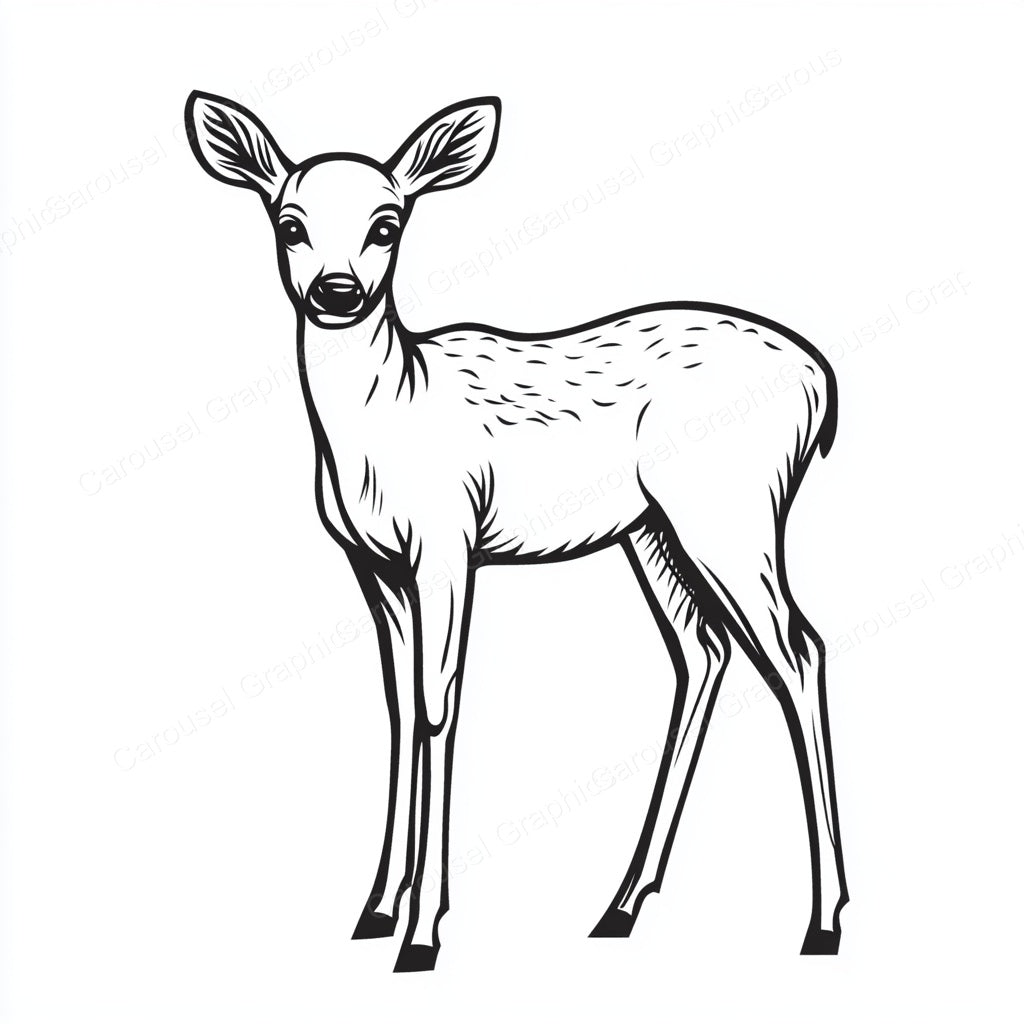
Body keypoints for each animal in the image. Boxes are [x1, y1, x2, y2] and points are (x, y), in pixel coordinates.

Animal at [185, 90, 849, 973]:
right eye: (288, 222)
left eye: (388, 223)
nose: (337, 290)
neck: (385, 419)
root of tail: (823, 384)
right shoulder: (375, 565)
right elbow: (399, 707)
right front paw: (375, 910)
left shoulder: (448, 541)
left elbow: (439, 706)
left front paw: (423, 933)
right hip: (654, 530)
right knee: (703, 652)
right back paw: (620, 906)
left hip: (733, 510)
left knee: (799, 651)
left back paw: (824, 921)